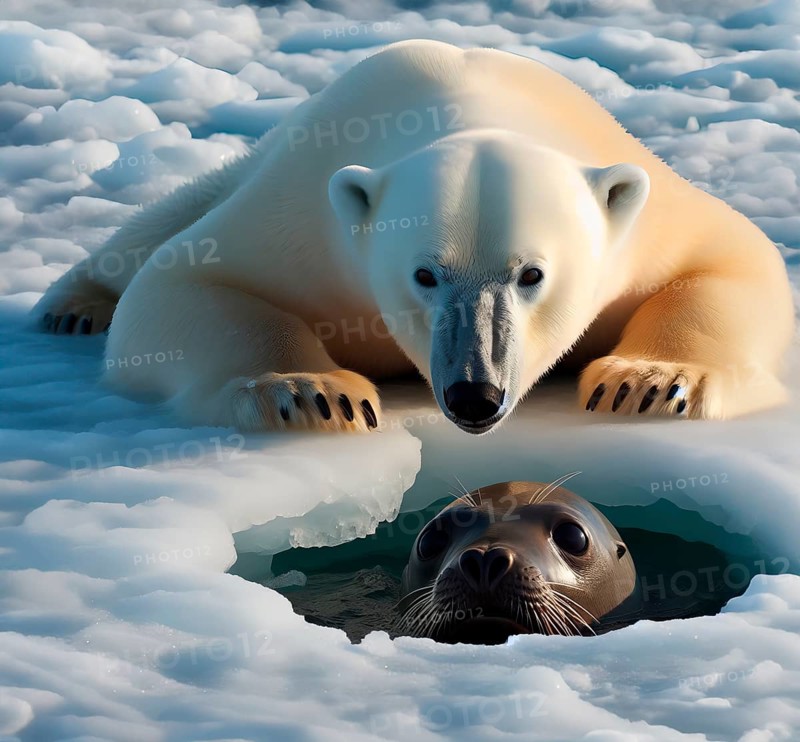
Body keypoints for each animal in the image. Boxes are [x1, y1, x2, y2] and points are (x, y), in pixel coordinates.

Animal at [34, 39, 795, 434]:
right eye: (426, 275)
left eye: (531, 274)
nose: (475, 395)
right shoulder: (303, 218)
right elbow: (180, 280)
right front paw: (313, 392)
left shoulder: (651, 219)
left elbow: (738, 259)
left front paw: (650, 382)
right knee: (156, 227)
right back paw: (73, 306)